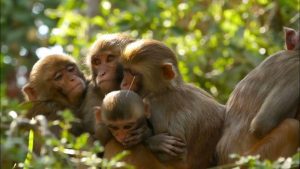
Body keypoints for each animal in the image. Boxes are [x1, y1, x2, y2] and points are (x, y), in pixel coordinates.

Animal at [119, 39, 225, 168]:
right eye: (125, 71)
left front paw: (149, 139)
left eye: (133, 73)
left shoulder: (158, 108)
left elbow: (170, 155)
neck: (165, 90)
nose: (123, 84)